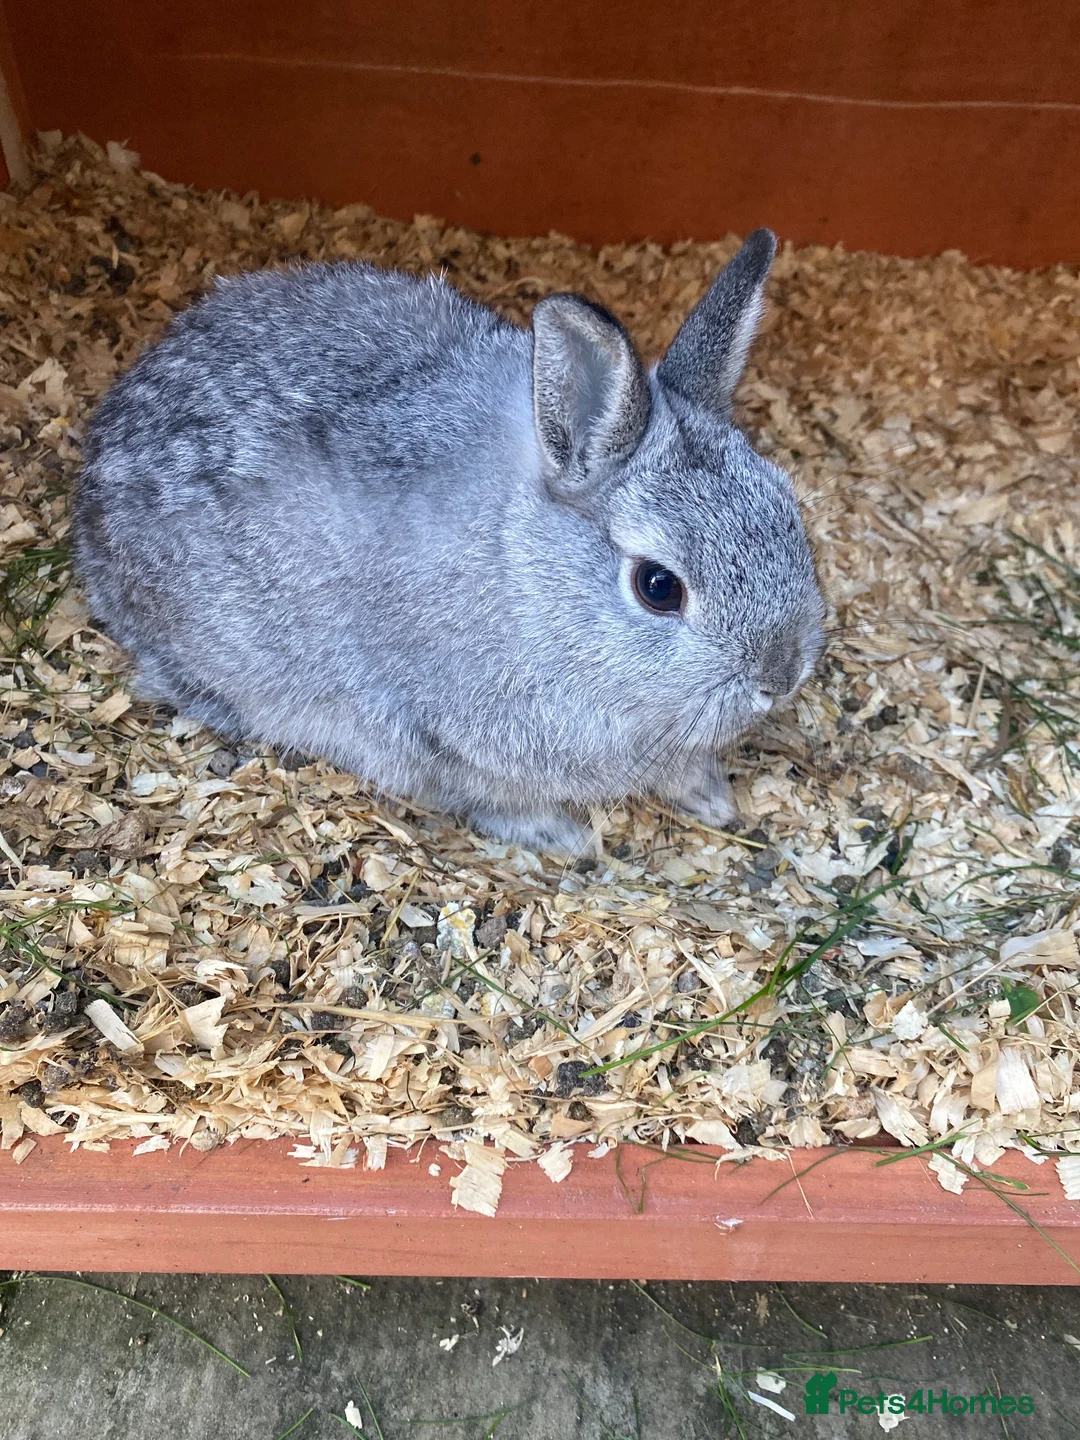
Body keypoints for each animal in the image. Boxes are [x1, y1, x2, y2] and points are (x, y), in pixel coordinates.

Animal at [73, 228, 825, 855]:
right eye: (659, 587)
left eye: (788, 510)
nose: (781, 677)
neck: (526, 575)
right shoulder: (447, 740)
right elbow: (491, 799)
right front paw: (566, 839)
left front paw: (712, 797)